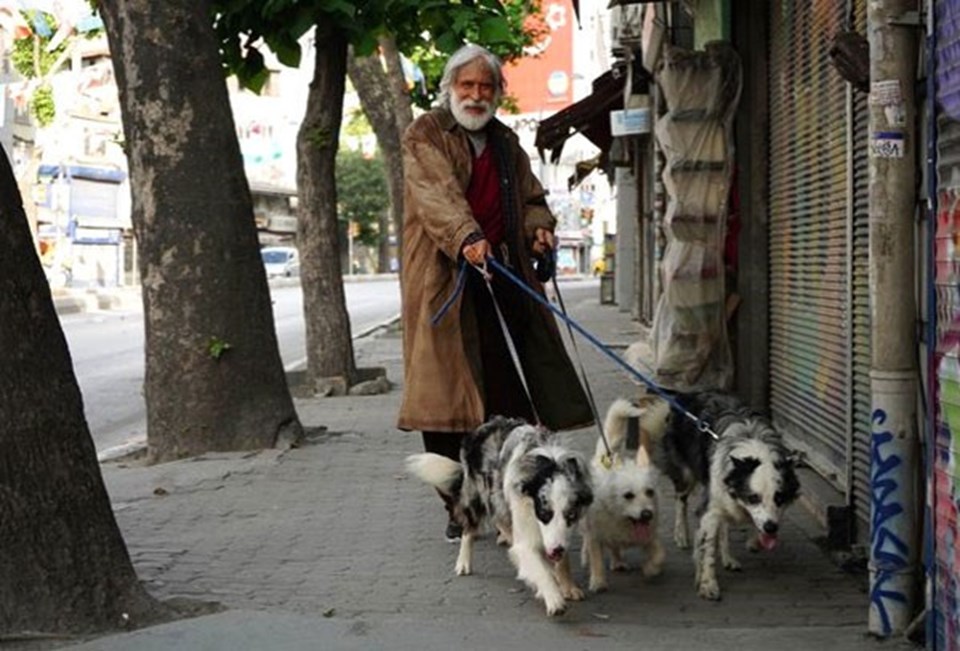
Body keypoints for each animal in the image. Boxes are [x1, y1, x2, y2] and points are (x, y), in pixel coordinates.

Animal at [404, 418, 592, 616]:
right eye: (544, 513)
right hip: (477, 496)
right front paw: (554, 598)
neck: (548, 463)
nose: (557, 550)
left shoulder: (561, 532)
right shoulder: (526, 531)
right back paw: (463, 562)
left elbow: (561, 560)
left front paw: (568, 586)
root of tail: (483, 426)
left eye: (571, 514)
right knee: (469, 529)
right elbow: (541, 570)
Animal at [580, 400, 672, 592]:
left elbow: (660, 555)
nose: (647, 514)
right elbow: (596, 558)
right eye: (628, 495)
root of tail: (605, 458)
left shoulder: (649, 536)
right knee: (587, 540)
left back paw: (618, 562)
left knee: (615, 547)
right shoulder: (595, 535)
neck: (622, 519)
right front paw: (598, 581)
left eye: (650, 492)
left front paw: (650, 568)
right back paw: (586, 556)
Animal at [632, 392, 800, 600]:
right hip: (686, 474)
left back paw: (728, 557)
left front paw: (754, 541)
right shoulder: (710, 508)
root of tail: (684, 395)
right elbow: (707, 549)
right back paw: (681, 534)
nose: (771, 528)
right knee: (681, 500)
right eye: (753, 497)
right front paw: (707, 584)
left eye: (779, 498)